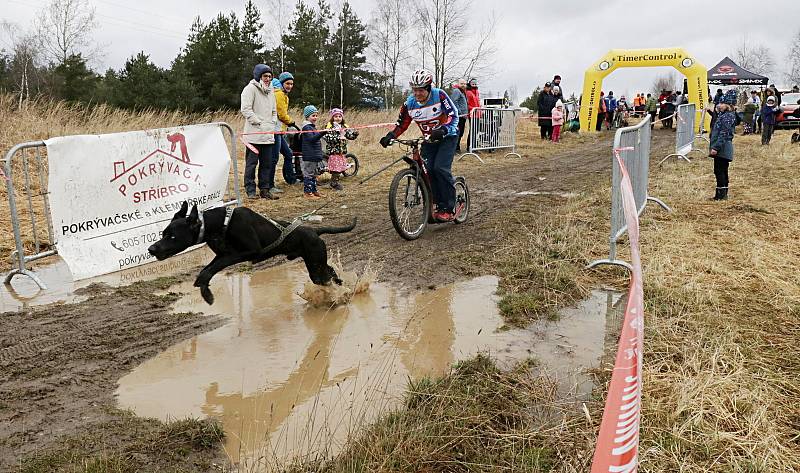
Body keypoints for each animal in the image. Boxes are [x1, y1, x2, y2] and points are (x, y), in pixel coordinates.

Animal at [150, 201, 356, 304]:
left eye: (172, 236)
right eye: (163, 233)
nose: (151, 249)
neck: (220, 224)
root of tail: (315, 231)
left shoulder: (246, 252)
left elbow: (209, 270)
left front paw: (205, 291)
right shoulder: (221, 254)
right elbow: (207, 269)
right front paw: (205, 290)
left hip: (315, 265)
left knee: (327, 277)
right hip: (316, 262)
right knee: (331, 272)